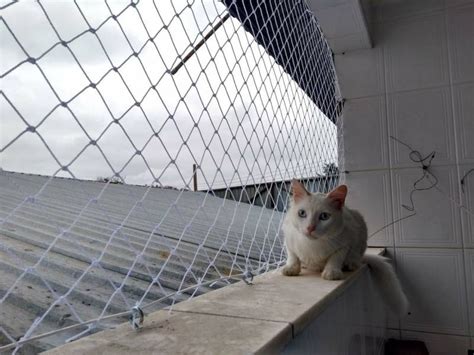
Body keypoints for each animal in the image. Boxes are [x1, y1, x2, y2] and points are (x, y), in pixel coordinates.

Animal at [282, 179, 408, 316]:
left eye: (324, 216)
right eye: (302, 213)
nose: (310, 228)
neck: (312, 244)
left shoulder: (346, 240)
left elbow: (336, 257)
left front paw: (331, 272)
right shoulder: (288, 237)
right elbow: (293, 255)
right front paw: (291, 268)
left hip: (360, 229)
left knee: (355, 257)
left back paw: (350, 263)